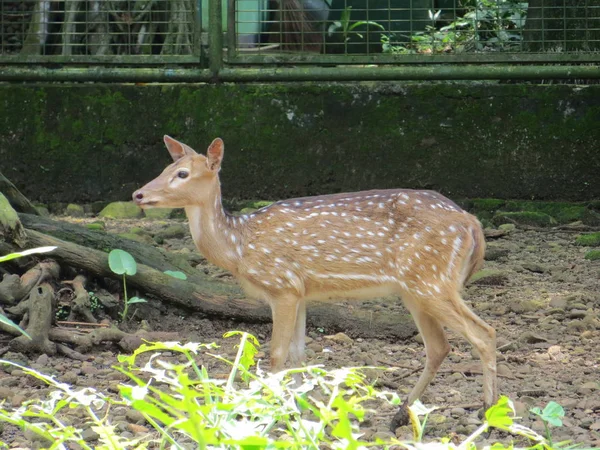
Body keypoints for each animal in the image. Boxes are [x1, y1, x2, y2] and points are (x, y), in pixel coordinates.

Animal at [134, 135, 500, 428]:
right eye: (165, 168)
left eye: (182, 174)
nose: (138, 194)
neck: (239, 246)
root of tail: (472, 222)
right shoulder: (300, 292)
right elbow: (299, 355)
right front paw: (297, 410)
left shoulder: (281, 285)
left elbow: (276, 354)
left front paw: (269, 412)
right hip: (417, 287)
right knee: (440, 346)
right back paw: (400, 415)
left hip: (431, 280)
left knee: (484, 332)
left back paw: (488, 412)